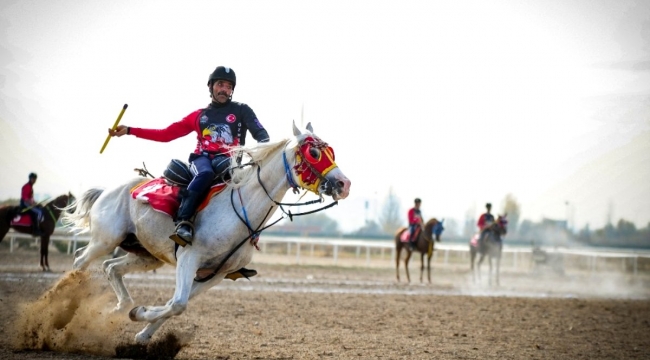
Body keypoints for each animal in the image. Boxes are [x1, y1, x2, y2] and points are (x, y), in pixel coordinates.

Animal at [62, 122, 350, 344]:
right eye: (314, 152)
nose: (344, 184)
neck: (238, 212)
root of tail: (108, 190)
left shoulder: (216, 274)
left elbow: (175, 304)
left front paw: (142, 329)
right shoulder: (189, 258)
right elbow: (178, 304)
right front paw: (140, 314)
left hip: (145, 254)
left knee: (111, 267)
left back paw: (120, 307)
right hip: (105, 240)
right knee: (80, 261)